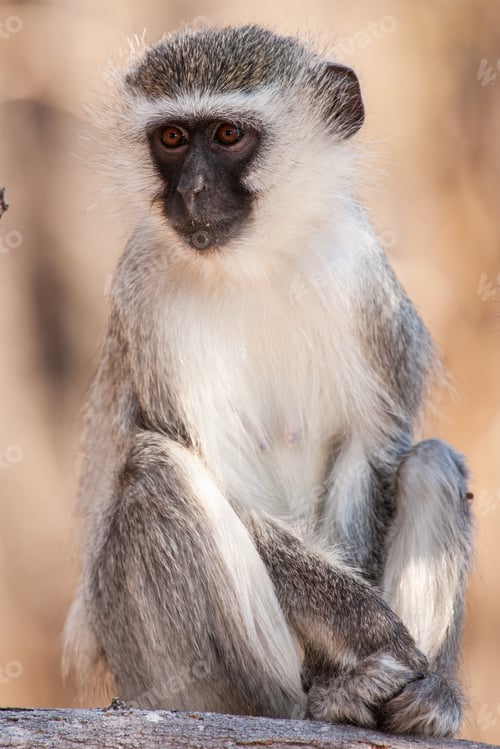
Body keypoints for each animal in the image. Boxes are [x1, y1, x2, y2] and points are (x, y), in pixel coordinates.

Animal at [64, 25, 473, 738]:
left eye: (228, 135)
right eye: (173, 138)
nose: (193, 191)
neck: (254, 261)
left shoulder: (364, 282)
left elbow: (371, 451)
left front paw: (392, 663)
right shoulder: (145, 296)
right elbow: (227, 481)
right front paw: (375, 635)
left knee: (431, 463)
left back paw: (430, 699)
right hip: (164, 671)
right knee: (157, 470)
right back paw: (318, 699)